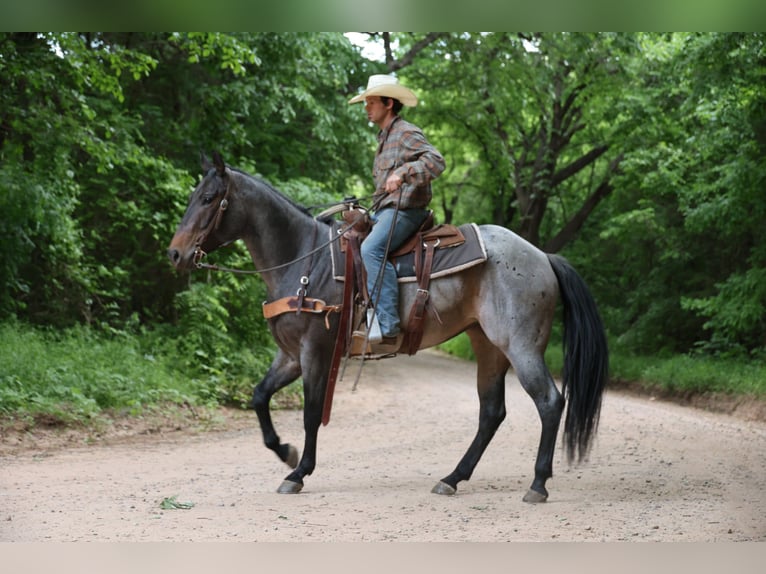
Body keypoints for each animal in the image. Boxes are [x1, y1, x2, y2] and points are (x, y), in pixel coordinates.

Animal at [167, 152, 609, 503]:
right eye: (192, 196)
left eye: (209, 198)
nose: (175, 254)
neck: (304, 259)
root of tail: (543, 256)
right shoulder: (289, 355)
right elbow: (259, 397)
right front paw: (285, 452)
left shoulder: (316, 352)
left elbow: (311, 413)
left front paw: (298, 472)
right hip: (487, 346)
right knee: (491, 412)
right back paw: (452, 478)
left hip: (520, 346)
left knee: (549, 402)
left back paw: (537, 484)